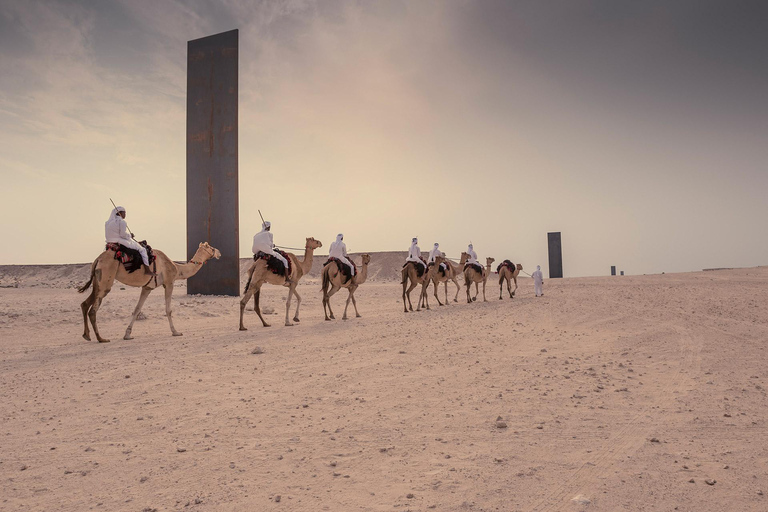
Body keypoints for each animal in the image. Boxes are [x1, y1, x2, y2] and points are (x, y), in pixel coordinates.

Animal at [78, 241, 220, 344]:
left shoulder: (147, 288)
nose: (219, 252)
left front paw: (127, 335)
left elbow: (137, 309)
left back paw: (87, 335)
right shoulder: (169, 283)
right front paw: (176, 332)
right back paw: (101, 338)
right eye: (211, 247)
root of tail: (97, 260)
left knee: (85, 304)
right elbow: (168, 310)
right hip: (105, 280)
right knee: (93, 310)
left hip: (97, 281)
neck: (177, 269)